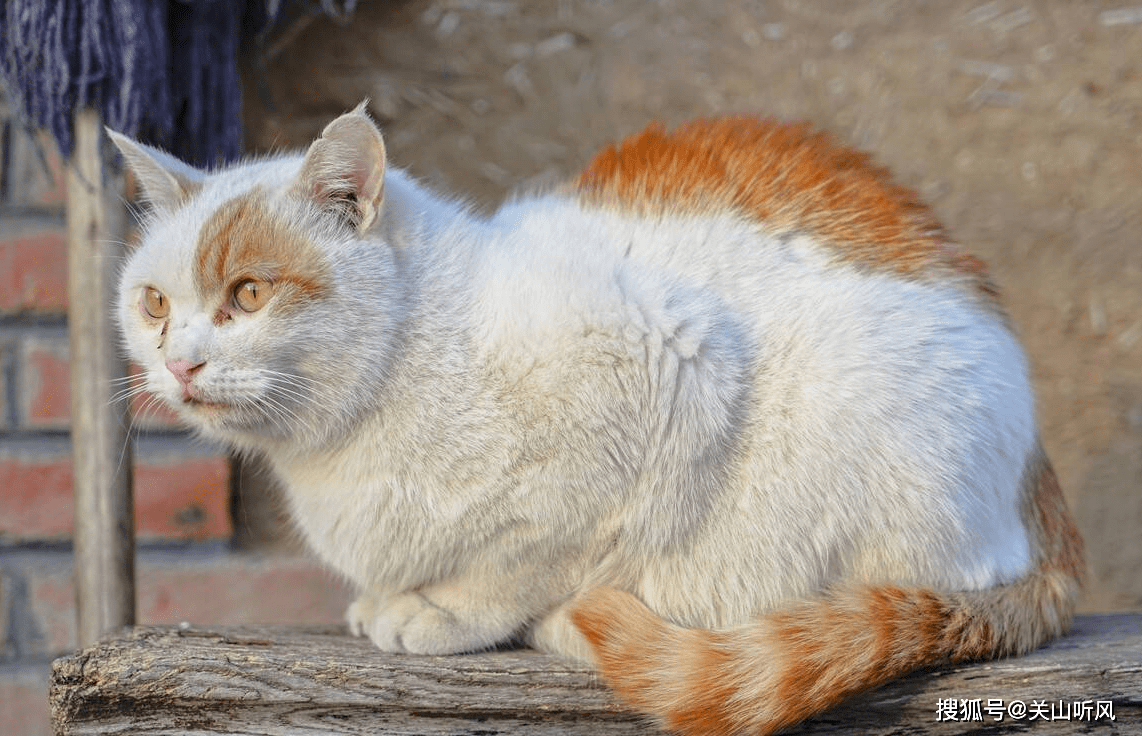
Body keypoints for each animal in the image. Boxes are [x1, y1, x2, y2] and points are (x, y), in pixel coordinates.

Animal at [111, 105, 1082, 736]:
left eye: (248, 294)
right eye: (155, 303)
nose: (178, 361)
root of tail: (1046, 512)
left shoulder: (672, 364)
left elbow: (531, 554)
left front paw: (449, 612)